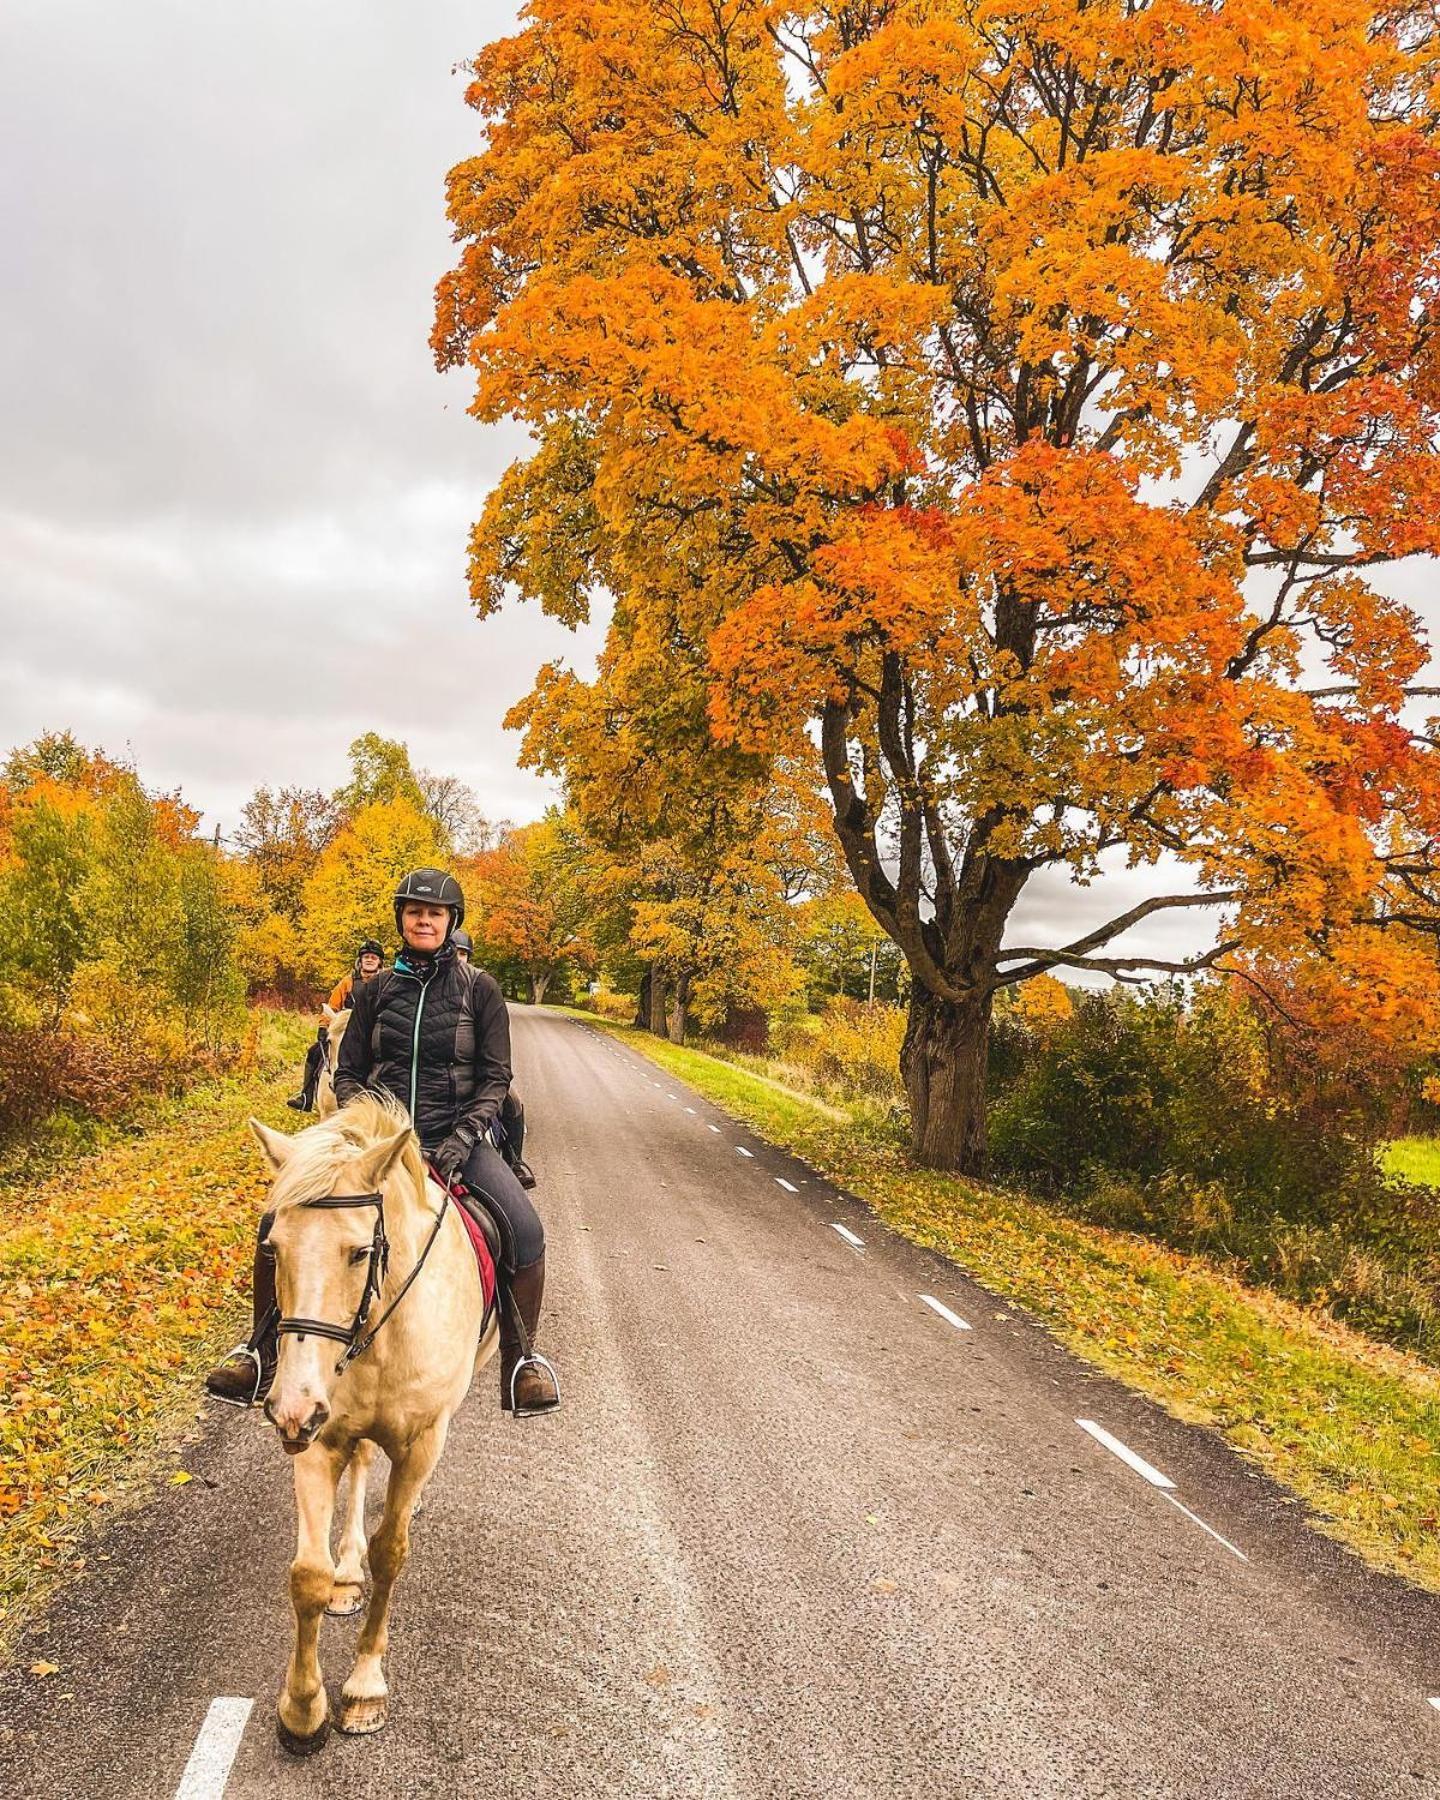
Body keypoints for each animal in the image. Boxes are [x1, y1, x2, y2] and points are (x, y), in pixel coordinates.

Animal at [248, 1087, 496, 1749]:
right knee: (359, 1463)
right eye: (271, 1249)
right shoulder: (316, 1438)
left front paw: (363, 1690)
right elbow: (306, 1574)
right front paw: (302, 1708)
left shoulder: (421, 1443)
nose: (291, 1404)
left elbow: (392, 1555)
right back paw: (346, 1572)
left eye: (360, 1251)